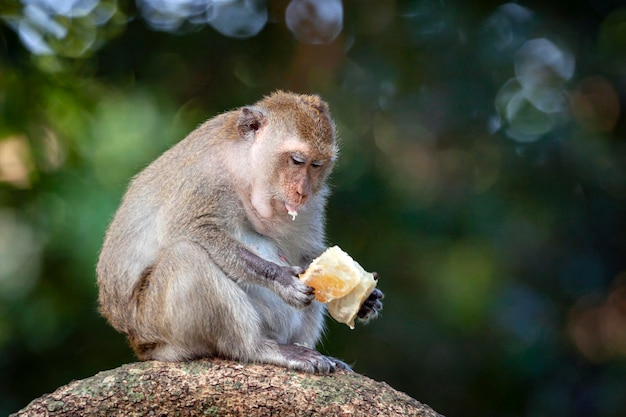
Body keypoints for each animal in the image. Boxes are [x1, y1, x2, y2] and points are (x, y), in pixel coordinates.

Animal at [95, 91, 382, 374]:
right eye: (297, 160)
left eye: (317, 165)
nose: (302, 191)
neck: (245, 169)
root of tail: (139, 342)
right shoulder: (206, 173)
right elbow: (190, 230)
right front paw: (280, 278)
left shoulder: (313, 203)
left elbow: (306, 253)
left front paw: (366, 300)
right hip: (155, 323)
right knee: (186, 256)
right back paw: (259, 348)